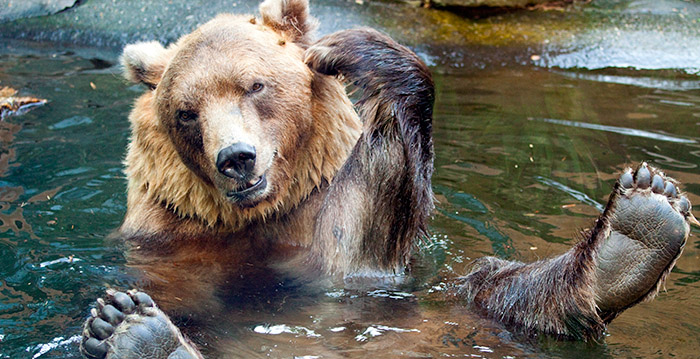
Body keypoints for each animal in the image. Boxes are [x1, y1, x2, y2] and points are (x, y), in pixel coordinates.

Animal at [78, 0, 696, 358]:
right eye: (187, 111)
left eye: (255, 85)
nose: (237, 158)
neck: (259, 215)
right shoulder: (168, 239)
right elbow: (188, 301)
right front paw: (131, 321)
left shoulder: (326, 222)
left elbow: (362, 226)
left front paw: (347, 47)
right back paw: (140, 335)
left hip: (441, 310)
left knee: (490, 286)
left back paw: (638, 229)